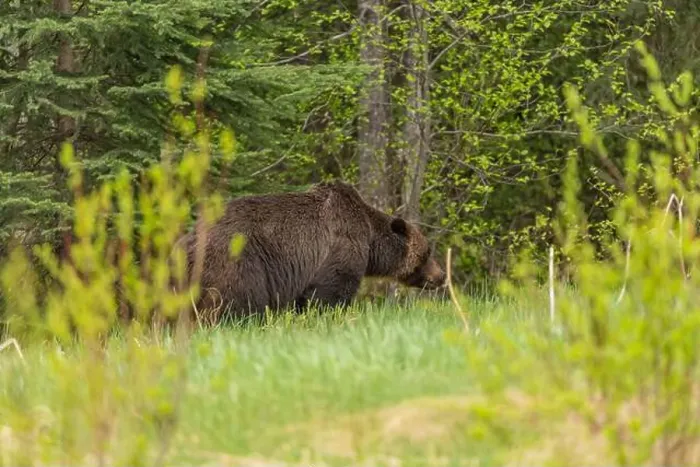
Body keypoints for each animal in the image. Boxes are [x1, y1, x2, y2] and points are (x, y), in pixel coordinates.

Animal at [175, 180, 446, 320]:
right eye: (427, 253)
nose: (441, 276)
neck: (370, 240)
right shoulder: (341, 246)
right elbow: (330, 292)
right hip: (238, 264)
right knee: (234, 303)